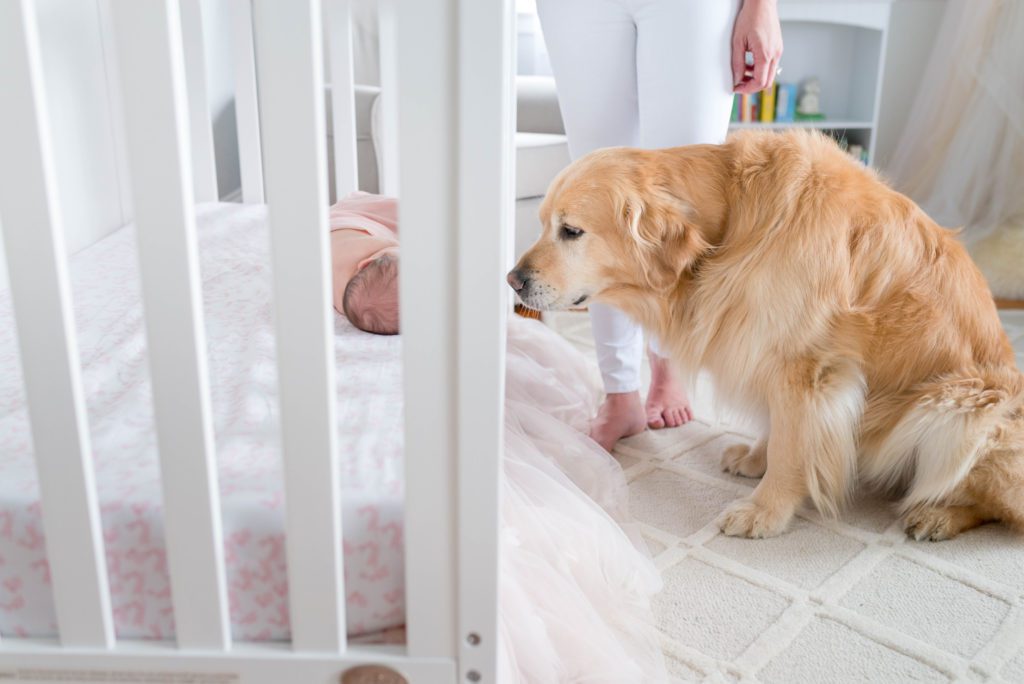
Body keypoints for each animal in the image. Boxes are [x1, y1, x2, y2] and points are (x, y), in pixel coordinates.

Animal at [505, 129, 1024, 540]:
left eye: (571, 231)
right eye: (542, 223)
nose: (513, 279)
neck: (734, 222)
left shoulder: (807, 370)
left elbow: (794, 446)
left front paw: (765, 511)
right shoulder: (769, 354)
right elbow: (780, 430)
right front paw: (757, 458)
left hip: (959, 409)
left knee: (1000, 508)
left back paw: (938, 515)